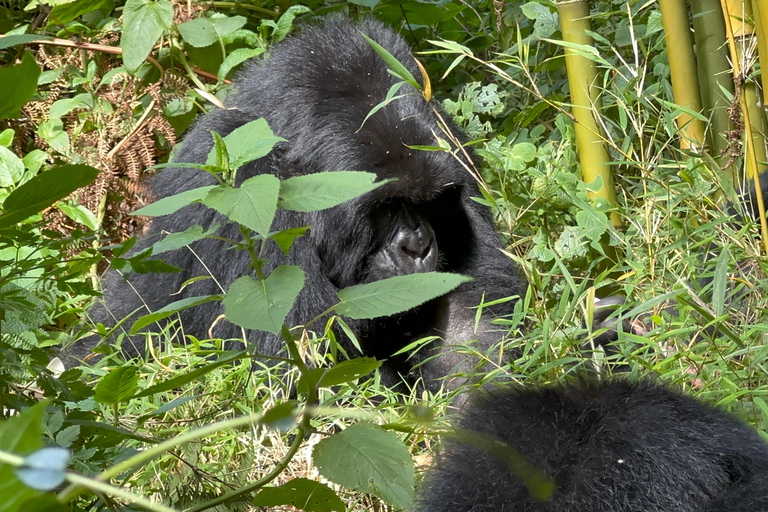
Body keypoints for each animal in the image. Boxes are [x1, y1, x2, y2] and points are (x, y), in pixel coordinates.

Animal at [66, 17, 524, 392]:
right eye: (385, 206)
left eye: (431, 203)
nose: (417, 247)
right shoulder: (246, 191)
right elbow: (302, 365)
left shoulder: (453, 149)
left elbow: (470, 323)